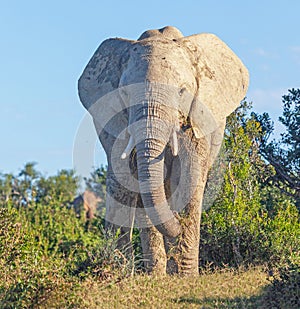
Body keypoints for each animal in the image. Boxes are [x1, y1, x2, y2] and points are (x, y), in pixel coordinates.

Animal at [78, 25, 248, 274]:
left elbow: (187, 176)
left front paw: (185, 276)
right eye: (125, 94)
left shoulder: (195, 120)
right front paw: (157, 276)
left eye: (181, 92)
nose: (178, 223)